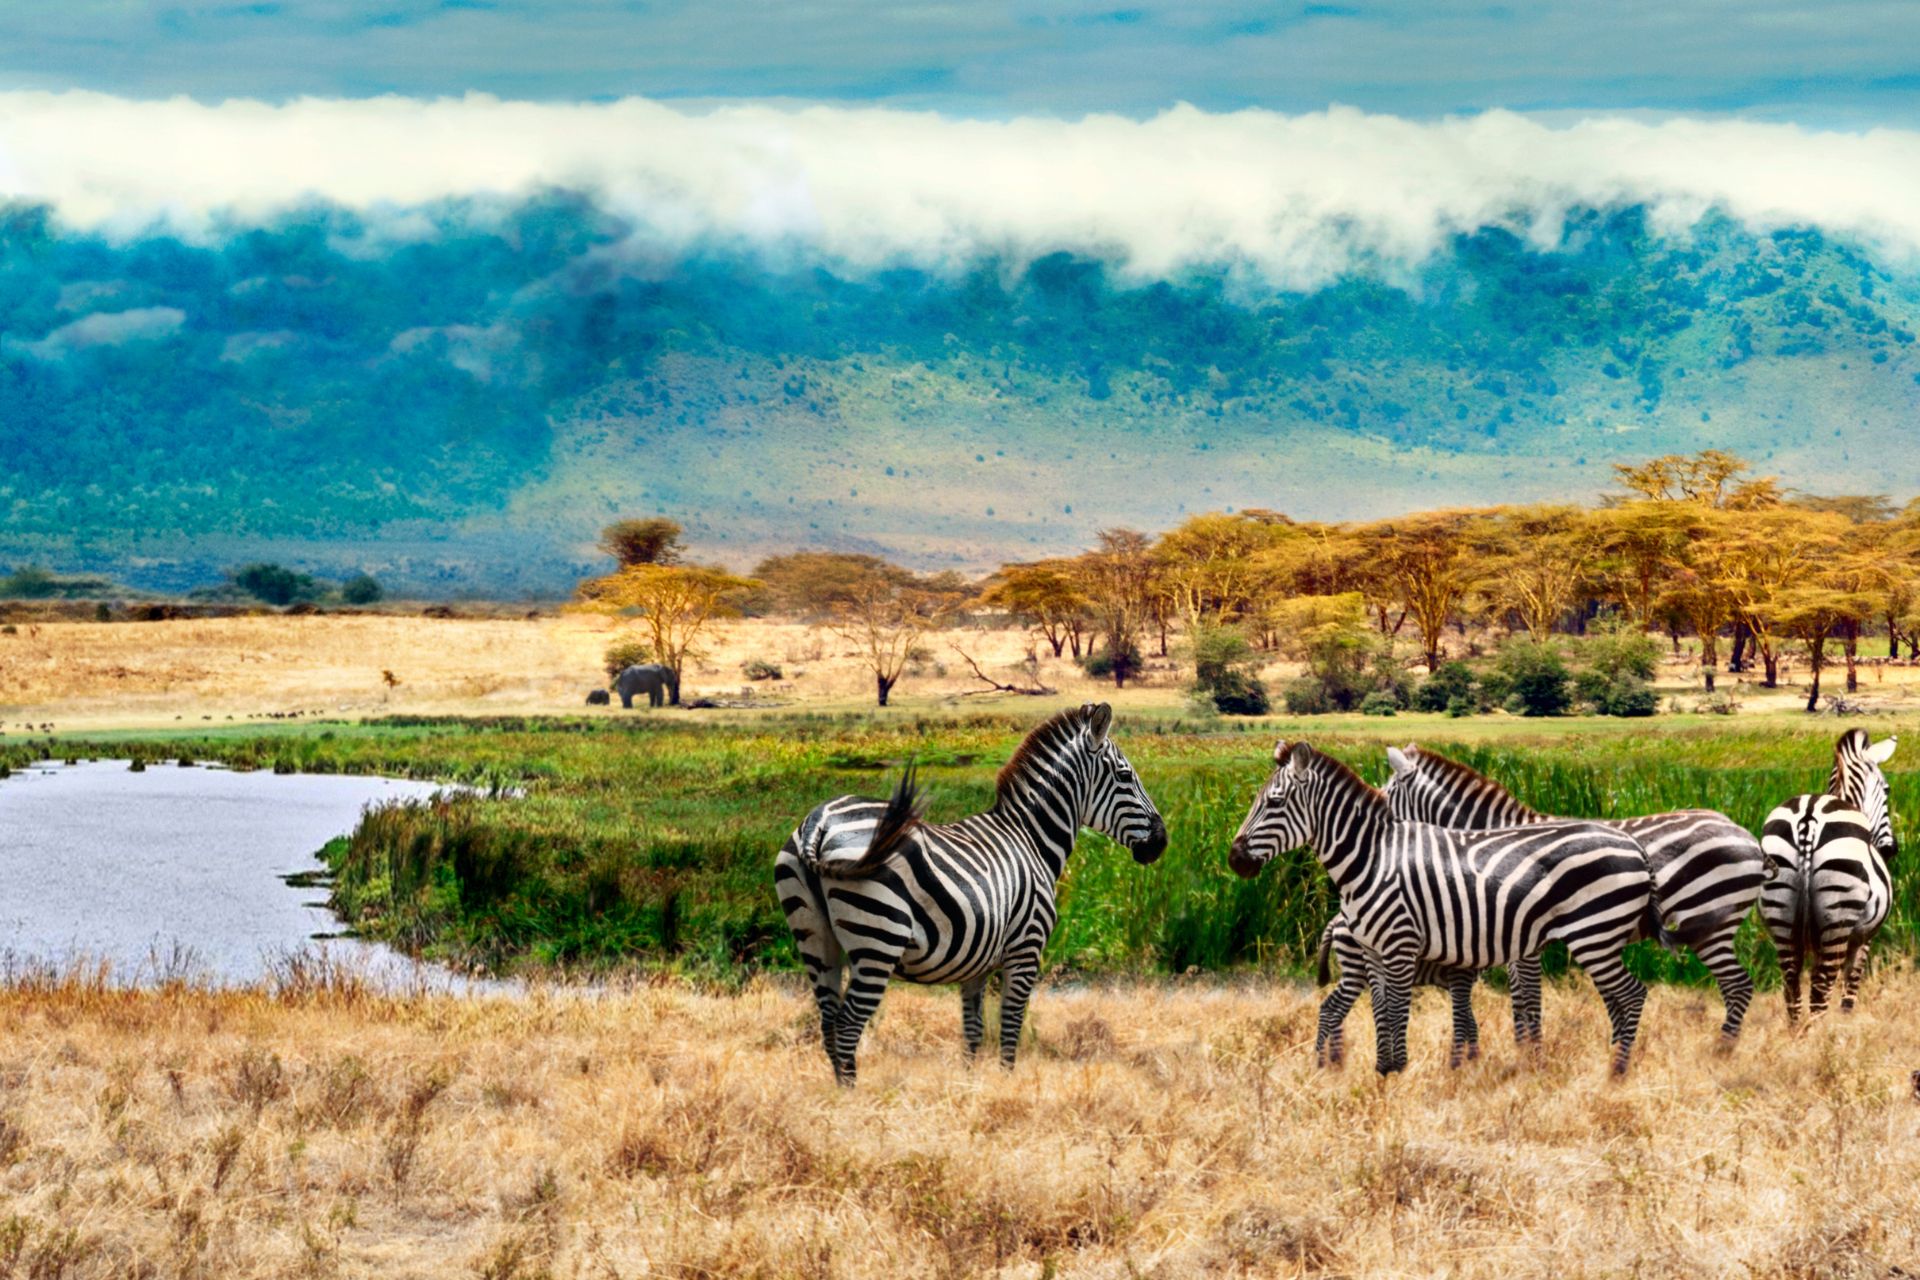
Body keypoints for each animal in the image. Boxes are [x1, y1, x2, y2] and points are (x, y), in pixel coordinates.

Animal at [771, 706, 1159, 1090]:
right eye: (1125, 775)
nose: (1161, 841)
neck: (1030, 838)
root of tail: (818, 822)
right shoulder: (1026, 949)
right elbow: (1010, 1027)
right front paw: (1007, 1087)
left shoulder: (977, 963)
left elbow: (973, 1032)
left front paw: (971, 1087)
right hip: (878, 939)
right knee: (848, 1026)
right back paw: (853, 1099)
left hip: (815, 937)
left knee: (828, 1023)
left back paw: (839, 1094)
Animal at [1228, 736, 1666, 1074]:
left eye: (1274, 803)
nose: (1234, 860)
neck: (1373, 858)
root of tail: (1634, 847)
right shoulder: (1373, 950)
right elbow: (1384, 1011)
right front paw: (1384, 1074)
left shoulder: (1406, 946)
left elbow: (1404, 1010)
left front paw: (1400, 1074)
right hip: (1600, 938)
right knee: (1621, 998)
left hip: (1594, 934)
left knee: (1631, 995)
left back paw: (1617, 1072)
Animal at [1382, 744, 1766, 1043]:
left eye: (1384, 793)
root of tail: (1743, 832)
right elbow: (1520, 1001)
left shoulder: (1523, 939)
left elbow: (1528, 1000)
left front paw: (1530, 1054)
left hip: (1709, 921)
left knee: (1737, 987)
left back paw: (1722, 1049)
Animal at [1758, 729, 1896, 1020]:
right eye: (1886, 789)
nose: (1891, 849)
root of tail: (1809, 816)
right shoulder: (1864, 938)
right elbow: (1850, 988)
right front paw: (1845, 1022)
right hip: (1838, 914)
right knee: (1822, 985)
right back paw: (1820, 1032)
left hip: (1780, 910)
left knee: (1791, 982)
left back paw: (1800, 1031)